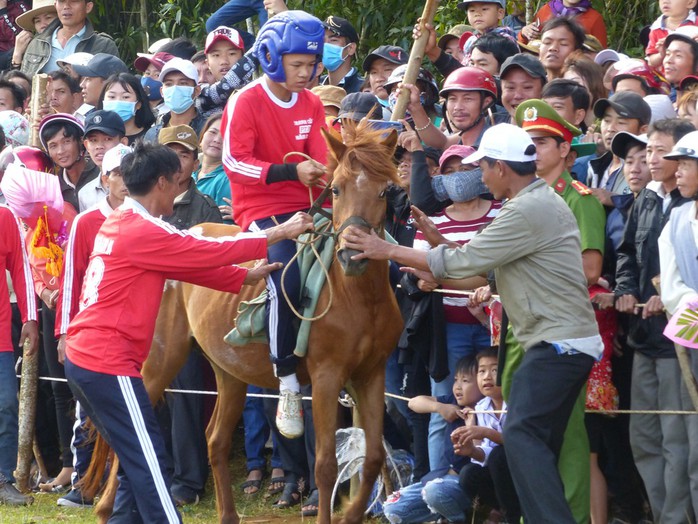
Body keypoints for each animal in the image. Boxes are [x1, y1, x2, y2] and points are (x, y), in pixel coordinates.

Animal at [85, 121, 402, 520]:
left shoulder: (371, 374)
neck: (358, 297)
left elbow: (373, 458)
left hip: (229, 370)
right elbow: (326, 466)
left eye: (384, 191)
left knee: (215, 440)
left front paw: (350, 514)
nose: (353, 254)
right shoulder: (327, 378)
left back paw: (227, 514)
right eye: (336, 188)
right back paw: (106, 508)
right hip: (161, 359)